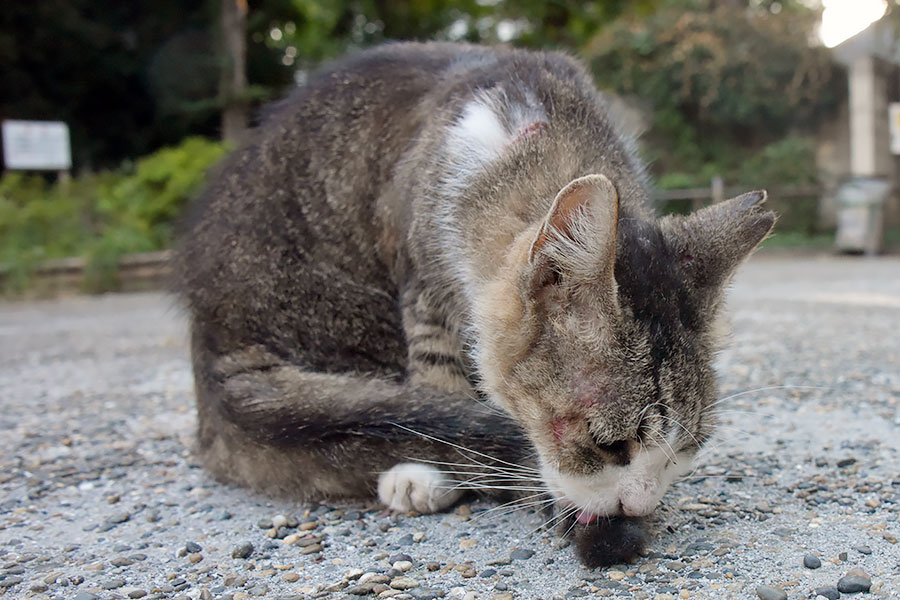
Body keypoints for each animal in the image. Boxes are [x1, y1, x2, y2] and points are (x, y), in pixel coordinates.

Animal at [174, 42, 772, 568]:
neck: (540, 135)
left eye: (687, 448)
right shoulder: (422, 272)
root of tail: (210, 342)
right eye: (607, 444)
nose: (642, 504)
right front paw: (426, 471)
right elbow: (434, 374)